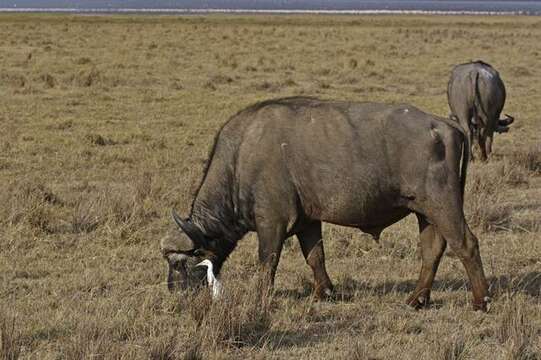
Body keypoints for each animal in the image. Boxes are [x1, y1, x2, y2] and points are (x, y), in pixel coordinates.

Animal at [159, 97, 490, 310]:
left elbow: (267, 262)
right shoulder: (307, 221)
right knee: (432, 249)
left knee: (466, 244)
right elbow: (315, 256)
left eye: (180, 264)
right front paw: (325, 292)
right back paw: (417, 299)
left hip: (442, 204)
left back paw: (480, 300)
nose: (174, 294)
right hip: (425, 211)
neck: (240, 159)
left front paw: (260, 299)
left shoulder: (272, 222)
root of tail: (445, 125)